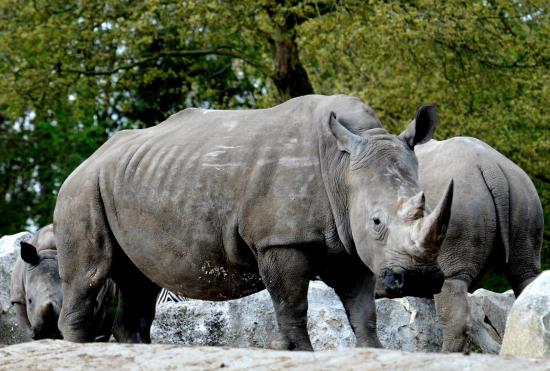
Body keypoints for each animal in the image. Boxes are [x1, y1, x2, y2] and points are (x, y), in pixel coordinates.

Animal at [54, 94, 454, 350]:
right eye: (376, 222)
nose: (420, 278)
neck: (343, 168)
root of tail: (92, 157)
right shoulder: (279, 239)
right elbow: (292, 305)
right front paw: (298, 351)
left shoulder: (348, 243)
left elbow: (363, 310)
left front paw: (373, 350)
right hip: (81, 190)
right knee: (89, 274)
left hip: (129, 182)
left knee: (139, 281)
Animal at [416, 137, 544, 354]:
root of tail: (491, 167)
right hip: (524, 194)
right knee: (525, 275)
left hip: (457, 203)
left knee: (451, 279)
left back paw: (446, 354)